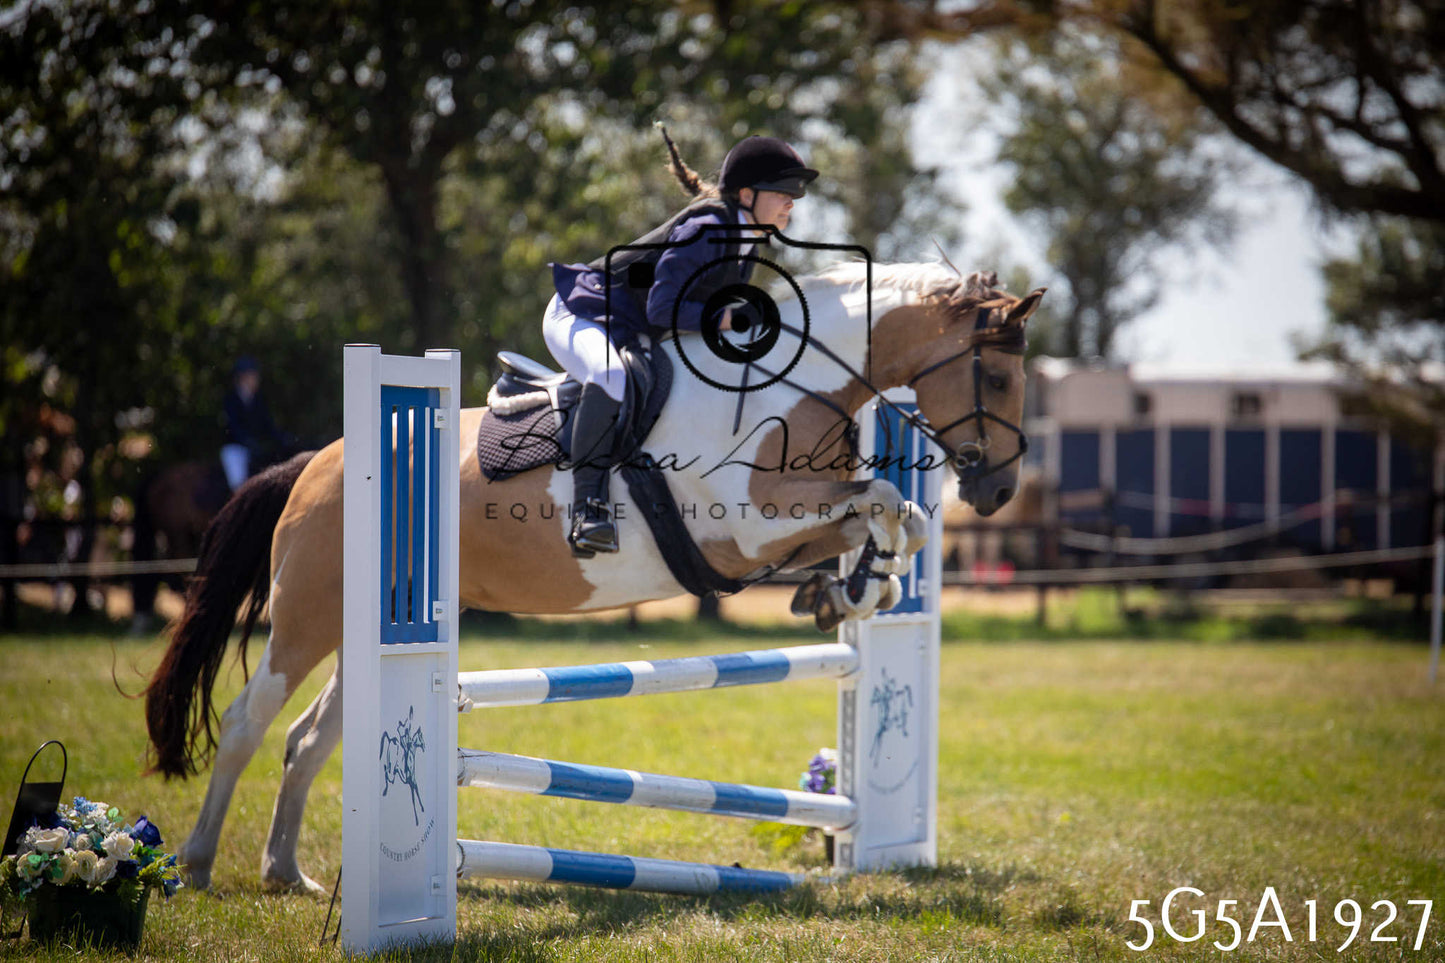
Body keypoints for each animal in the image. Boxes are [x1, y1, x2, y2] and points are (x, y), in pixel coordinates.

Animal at [143, 262, 1043, 892]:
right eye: (998, 377)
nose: (998, 490)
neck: (781, 391)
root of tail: (314, 463)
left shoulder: (793, 519)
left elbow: (897, 515)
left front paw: (853, 589)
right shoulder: (743, 528)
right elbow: (888, 499)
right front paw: (854, 584)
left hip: (372, 621)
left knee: (309, 737)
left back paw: (287, 872)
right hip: (306, 615)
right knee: (247, 720)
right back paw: (197, 865)